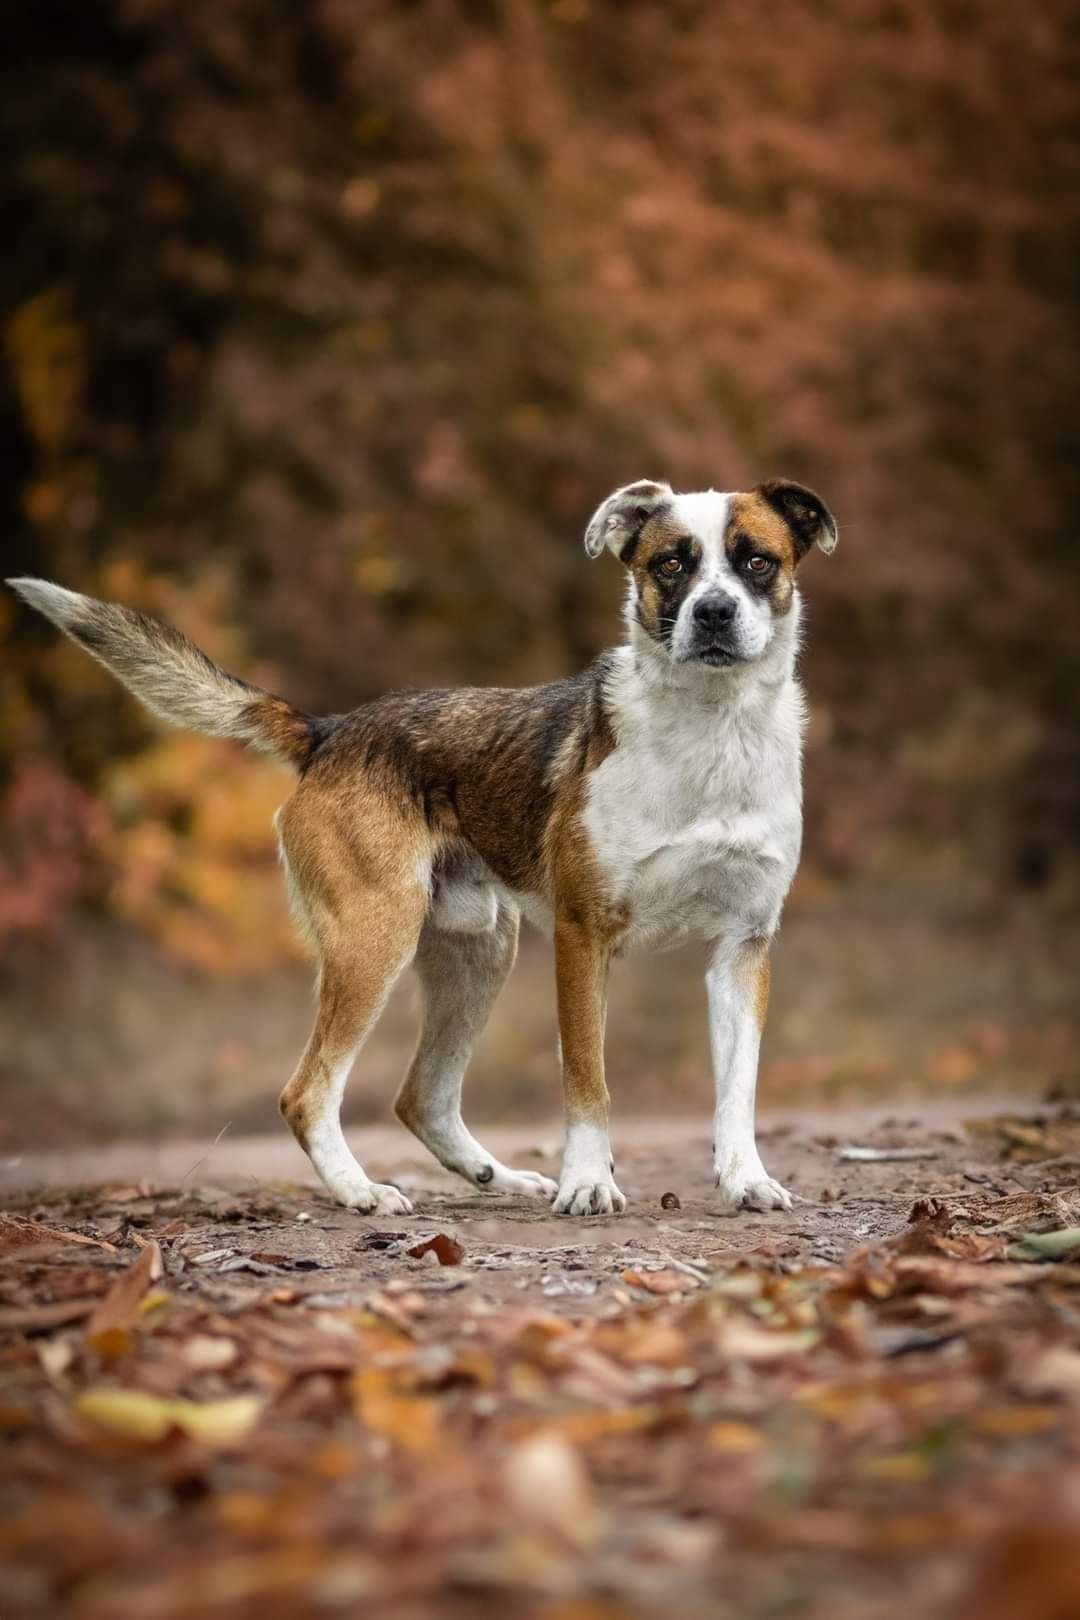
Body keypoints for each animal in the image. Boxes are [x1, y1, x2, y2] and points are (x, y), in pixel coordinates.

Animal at [6, 476, 835, 1218]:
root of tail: (329, 731)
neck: (710, 734)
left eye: (756, 560)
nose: (715, 612)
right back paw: (361, 1192)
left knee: (420, 1097)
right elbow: (587, 1084)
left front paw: (745, 1180)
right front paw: (587, 1185)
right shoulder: (583, 937)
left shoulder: (743, 947)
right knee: (307, 1093)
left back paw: (498, 1178)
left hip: (480, 950)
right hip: (377, 939)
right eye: (671, 564)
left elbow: (737, 1090)